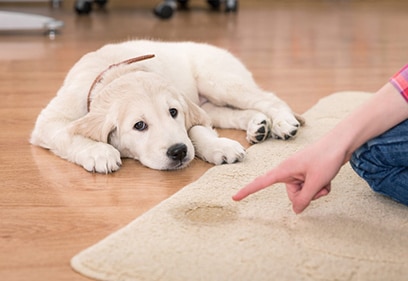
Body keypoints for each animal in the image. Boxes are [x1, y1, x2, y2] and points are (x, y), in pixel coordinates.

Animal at [30, 38, 302, 171]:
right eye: (139, 125)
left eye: (173, 112)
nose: (178, 151)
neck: (116, 72)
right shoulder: (49, 121)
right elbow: (67, 134)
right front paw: (99, 152)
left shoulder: (189, 109)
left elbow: (196, 130)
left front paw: (218, 146)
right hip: (211, 102)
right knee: (231, 113)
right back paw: (258, 125)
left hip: (219, 81)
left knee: (268, 98)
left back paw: (282, 122)